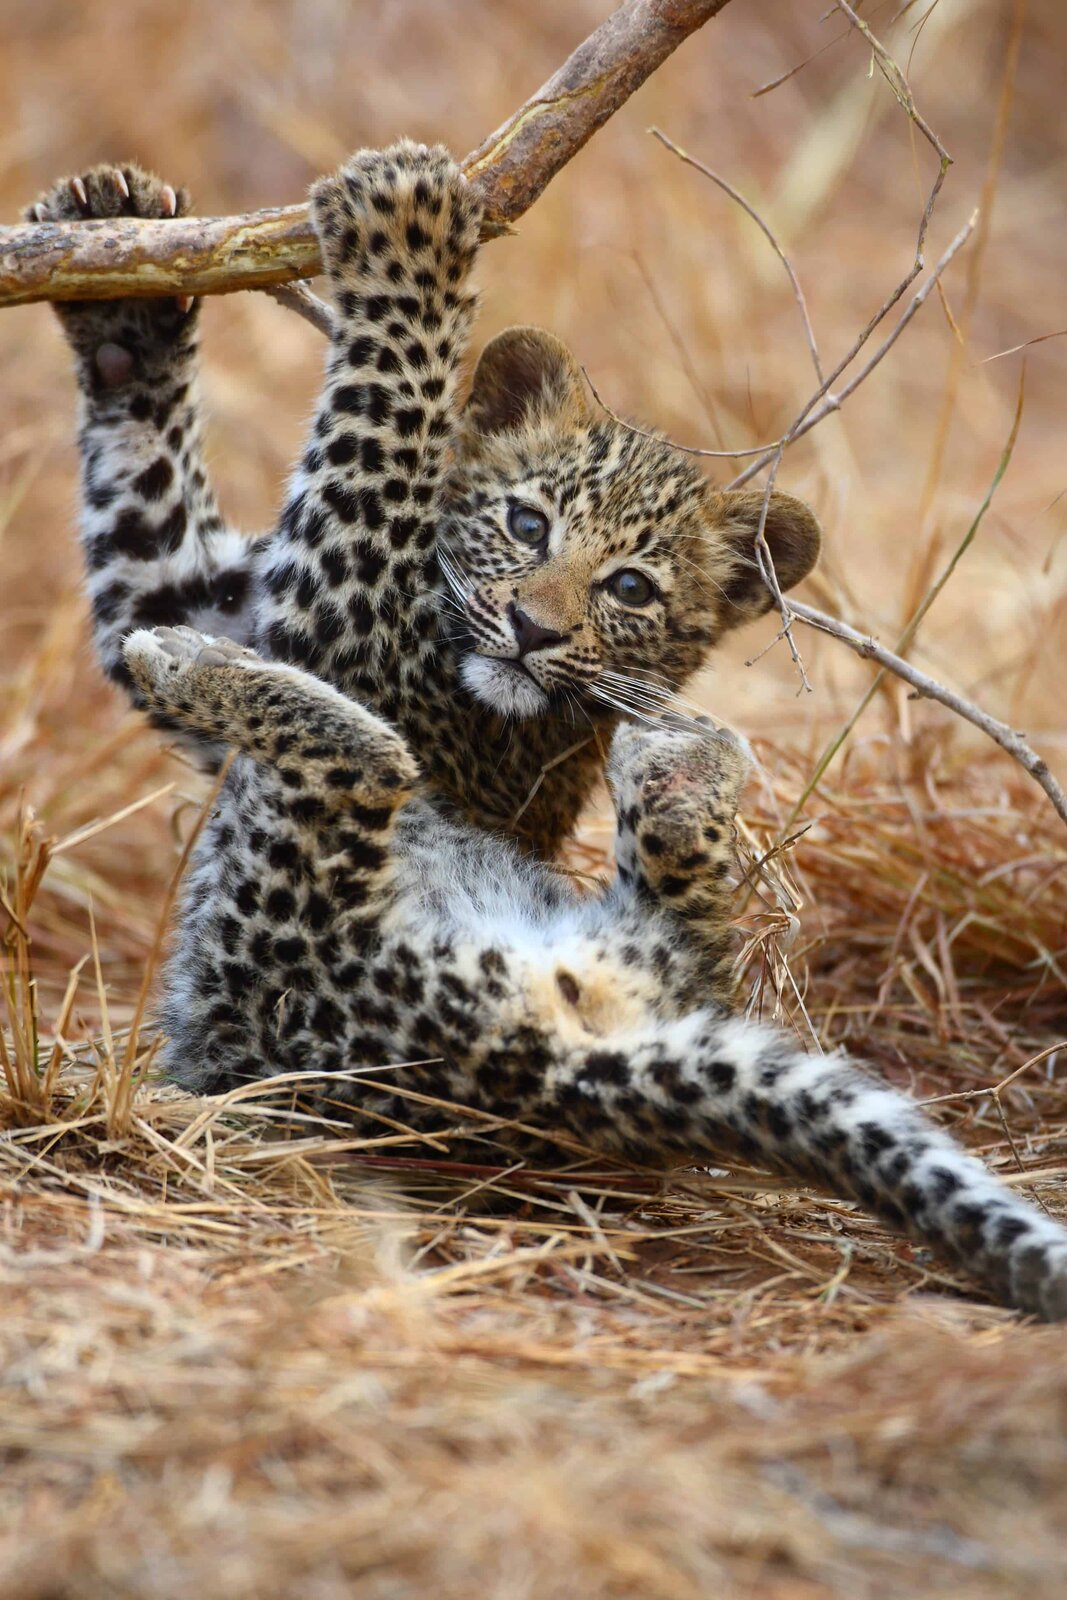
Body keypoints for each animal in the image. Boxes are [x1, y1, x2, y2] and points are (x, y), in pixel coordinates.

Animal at [28, 144, 1067, 1318]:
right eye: (526, 523)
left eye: (629, 588)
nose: (531, 630)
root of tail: (536, 1063)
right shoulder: (230, 599)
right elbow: (146, 529)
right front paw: (120, 293)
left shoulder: (331, 618)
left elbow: (384, 422)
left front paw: (411, 230)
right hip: (639, 957)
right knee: (692, 912)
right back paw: (683, 760)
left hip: (291, 910)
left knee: (366, 758)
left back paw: (199, 669)